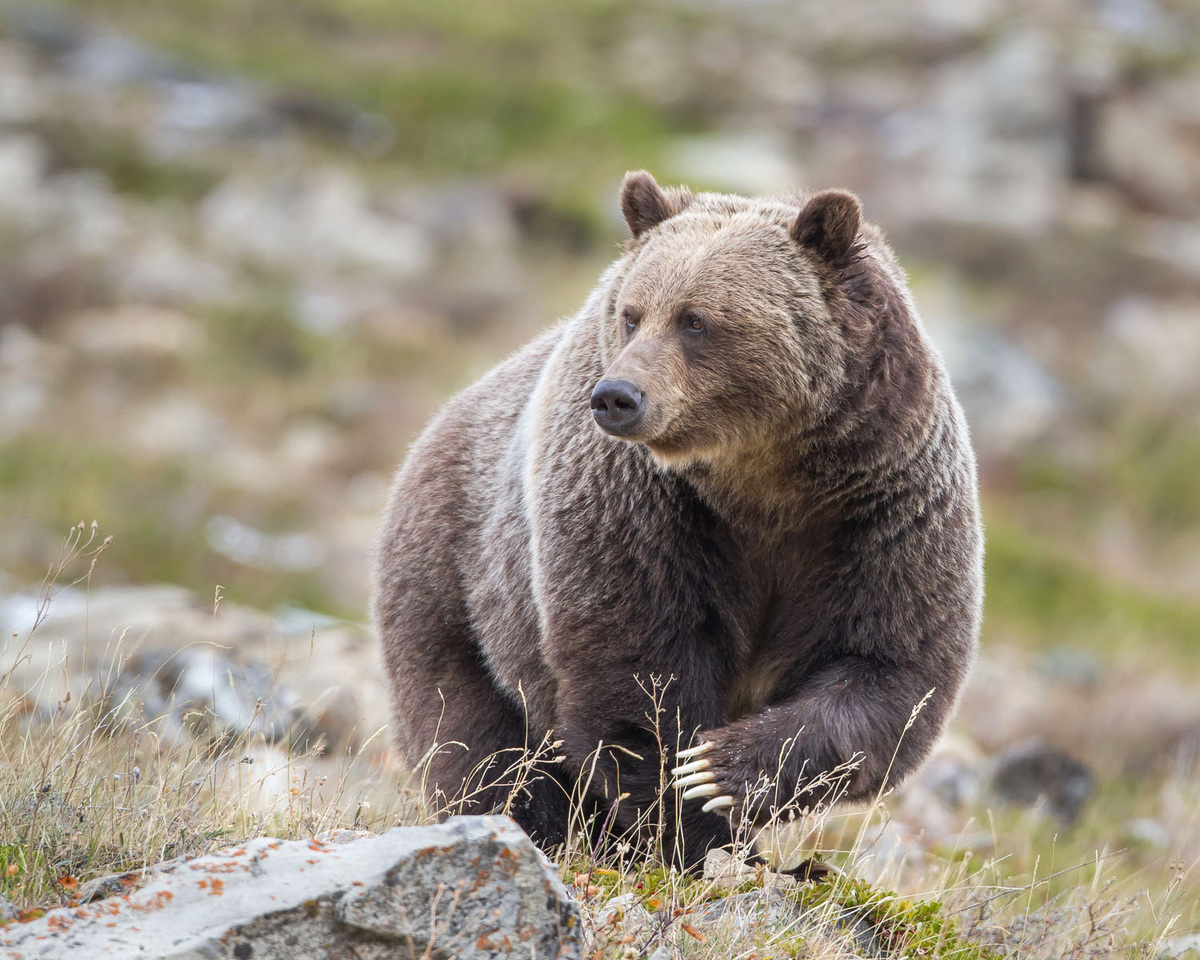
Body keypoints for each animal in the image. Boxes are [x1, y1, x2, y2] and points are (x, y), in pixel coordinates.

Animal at [372, 171, 983, 866]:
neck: (764, 477)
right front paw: (690, 827)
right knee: (477, 741)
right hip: (456, 587)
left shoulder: (882, 509)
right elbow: (638, 675)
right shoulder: (642, 508)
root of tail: (435, 428)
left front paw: (721, 771)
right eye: (632, 313)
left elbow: (889, 667)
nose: (616, 396)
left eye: (696, 320)